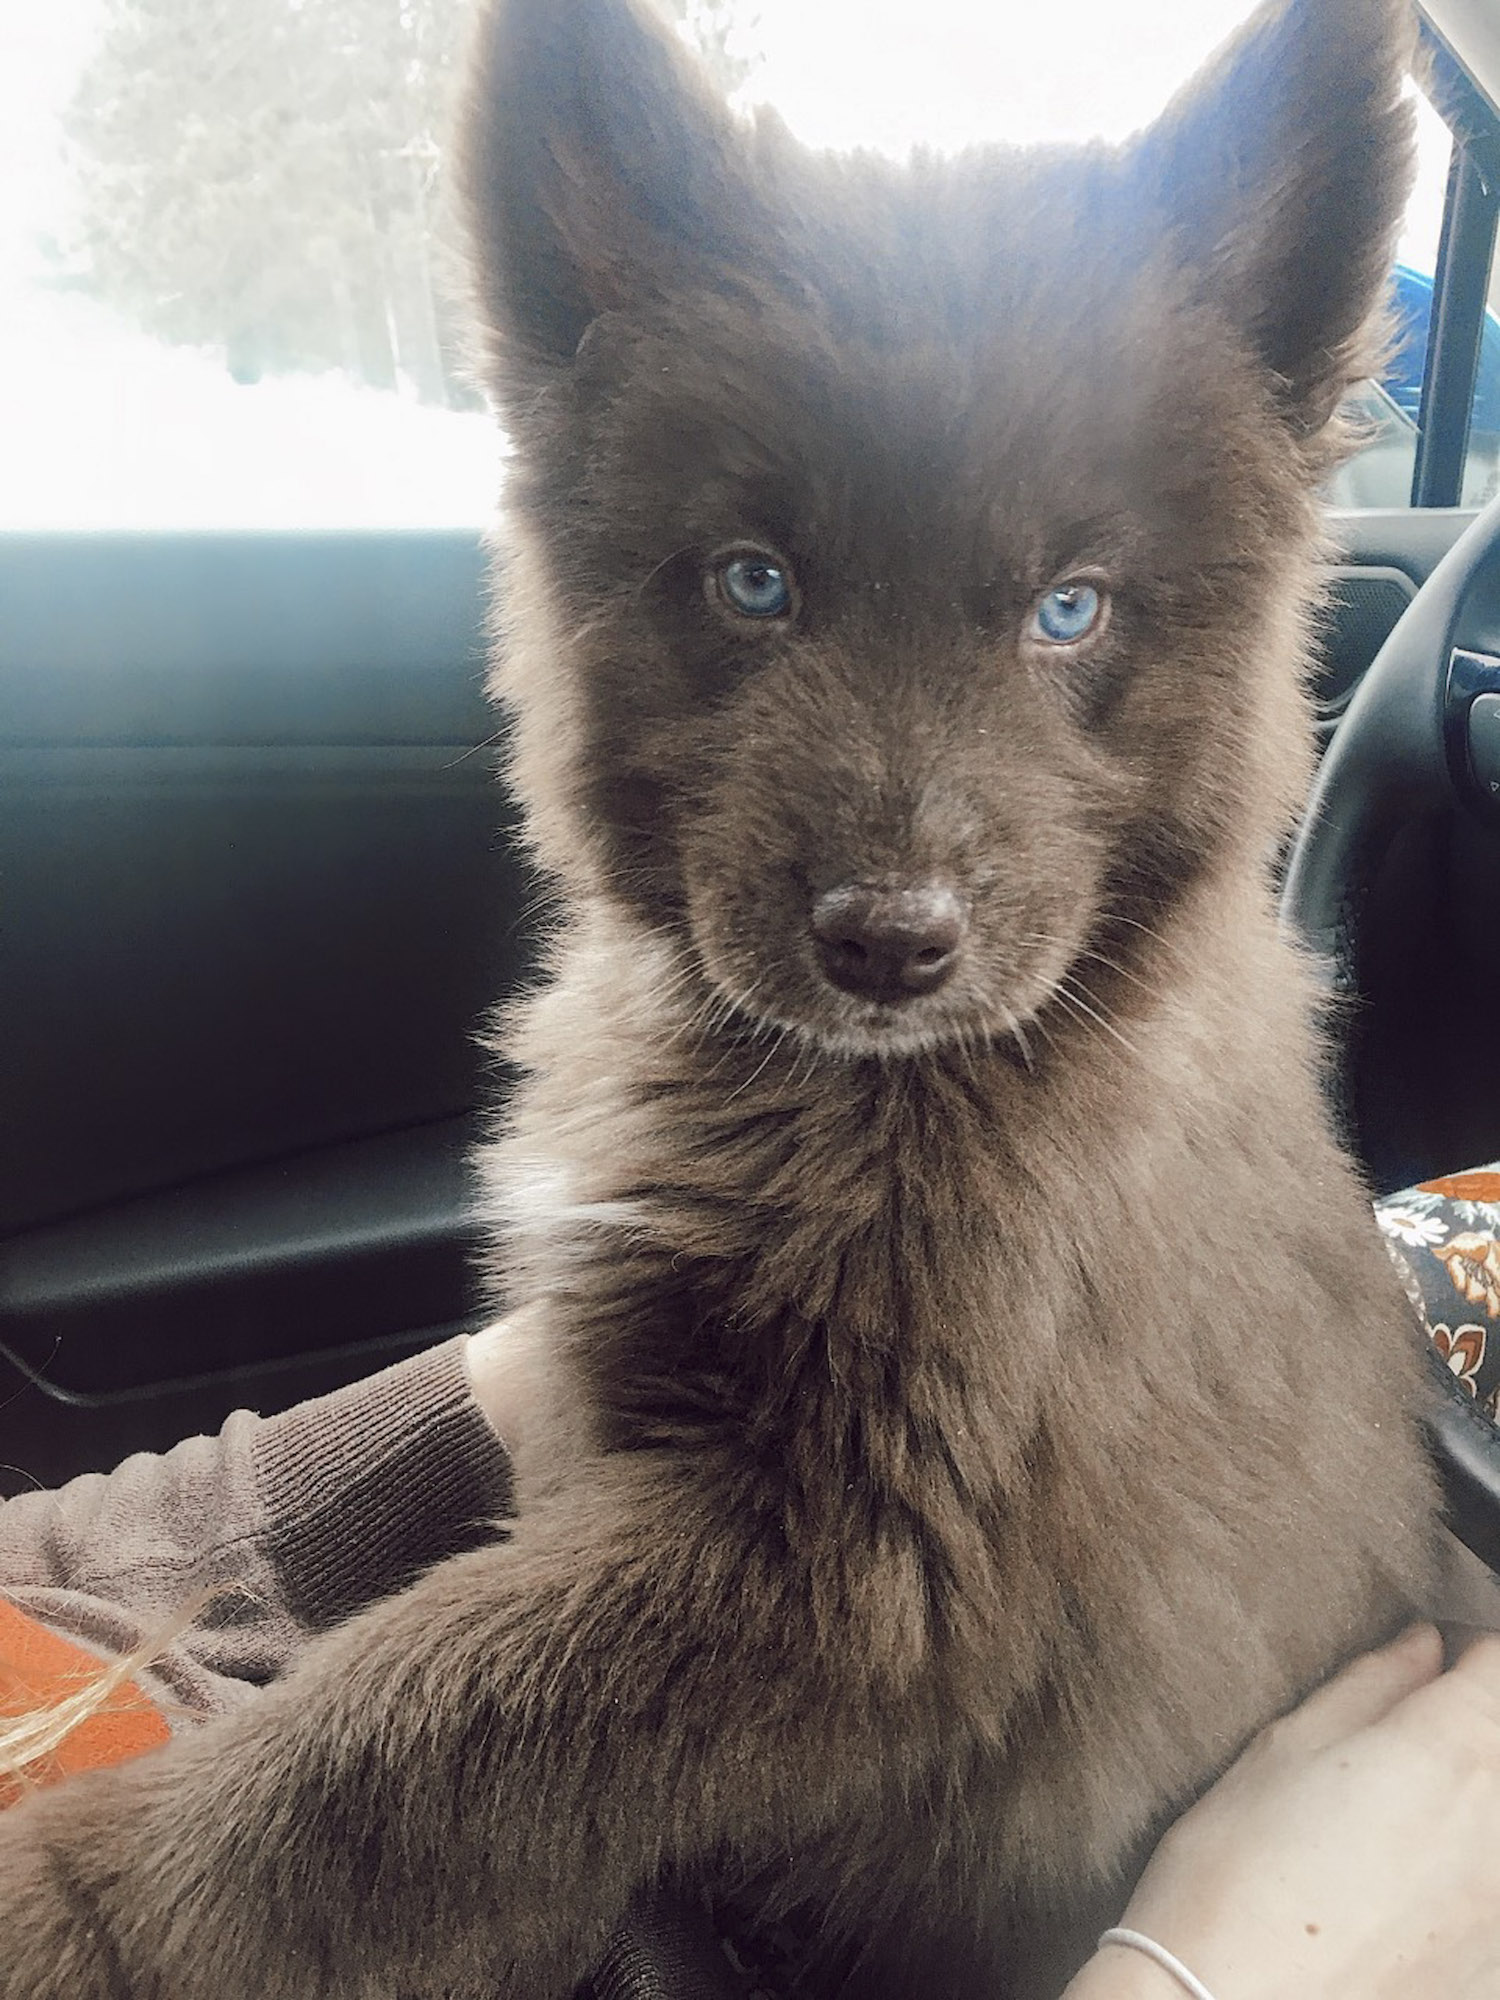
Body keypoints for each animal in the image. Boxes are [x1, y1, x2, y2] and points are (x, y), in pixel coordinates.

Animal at [0, 0, 1448, 1992]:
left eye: (1070, 610)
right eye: (756, 583)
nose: (891, 943)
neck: (869, 1093)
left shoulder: (853, 1572)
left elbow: (398, 1741)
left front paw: (74, 1902)